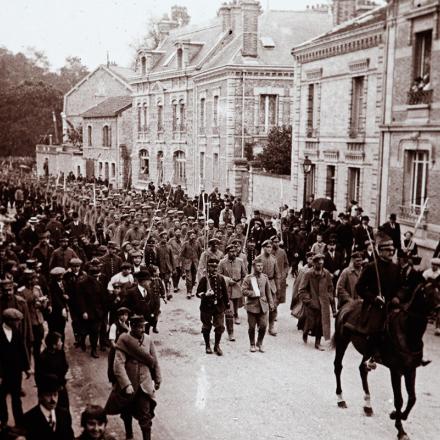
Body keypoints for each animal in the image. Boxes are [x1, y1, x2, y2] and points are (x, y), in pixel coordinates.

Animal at [334, 280, 440, 438]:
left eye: (439, 291)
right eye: (427, 293)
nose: (438, 309)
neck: (407, 333)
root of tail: (346, 306)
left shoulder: (410, 370)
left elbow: (412, 398)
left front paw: (398, 415)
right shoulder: (395, 371)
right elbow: (399, 400)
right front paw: (400, 428)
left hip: (367, 351)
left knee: (362, 369)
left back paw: (367, 406)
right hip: (342, 341)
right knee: (338, 367)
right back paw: (341, 399)